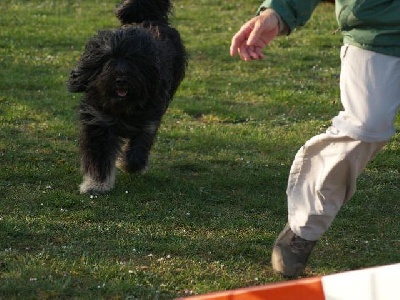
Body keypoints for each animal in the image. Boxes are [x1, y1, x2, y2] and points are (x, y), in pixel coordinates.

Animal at [68, 0, 187, 195]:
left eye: (133, 59)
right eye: (109, 58)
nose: (121, 80)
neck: (122, 107)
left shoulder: (148, 120)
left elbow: (138, 148)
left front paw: (127, 164)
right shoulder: (98, 122)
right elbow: (99, 156)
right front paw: (96, 184)